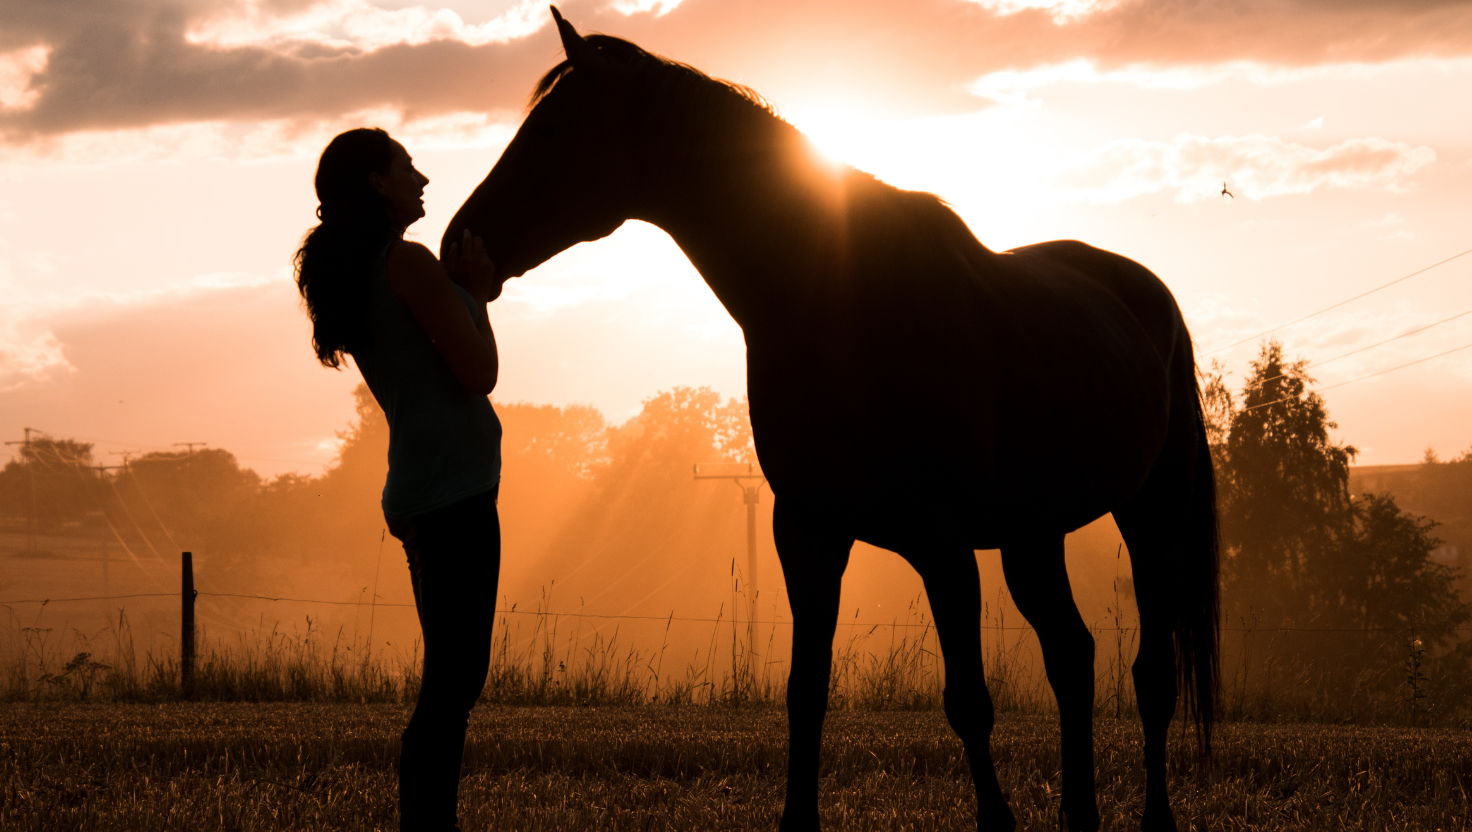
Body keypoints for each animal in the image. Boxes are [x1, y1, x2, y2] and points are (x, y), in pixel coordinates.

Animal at [444, 10, 1219, 831]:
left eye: (555, 130)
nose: (459, 240)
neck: (841, 304)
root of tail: (1146, 293)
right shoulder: (808, 531)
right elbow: (805, 694)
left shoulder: (942, 544)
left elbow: (968, 702)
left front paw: (996, 821)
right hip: (1031, 534)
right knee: (1073, 655)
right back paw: (1080, 815)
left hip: (1150, 517)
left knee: (1151, 673)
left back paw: (1155, 818)